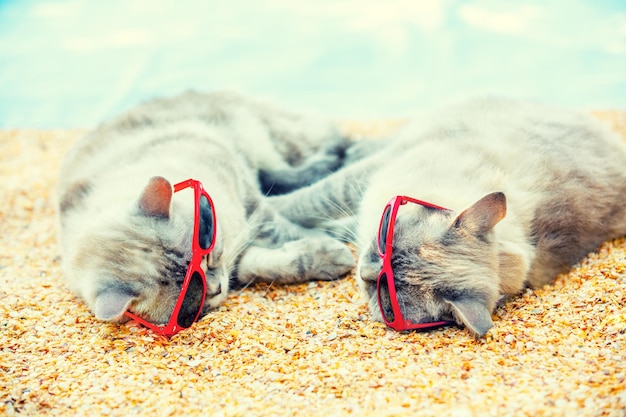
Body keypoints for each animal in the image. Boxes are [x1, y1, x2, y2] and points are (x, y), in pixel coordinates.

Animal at [58, 91, 356, 332]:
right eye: (194, 292)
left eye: (208, 254)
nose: (218, 287)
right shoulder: (240, 263)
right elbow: (277, 262)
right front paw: (329, 254)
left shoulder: (247, 198)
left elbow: (282, 229)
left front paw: (334, 244)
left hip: (267, 144)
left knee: (301, 166)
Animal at [270, 98, 624, 338]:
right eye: (387, 241)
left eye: (385, 297)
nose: (364, 272)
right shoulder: (366, 175)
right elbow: (302, 202)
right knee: (352, 152)